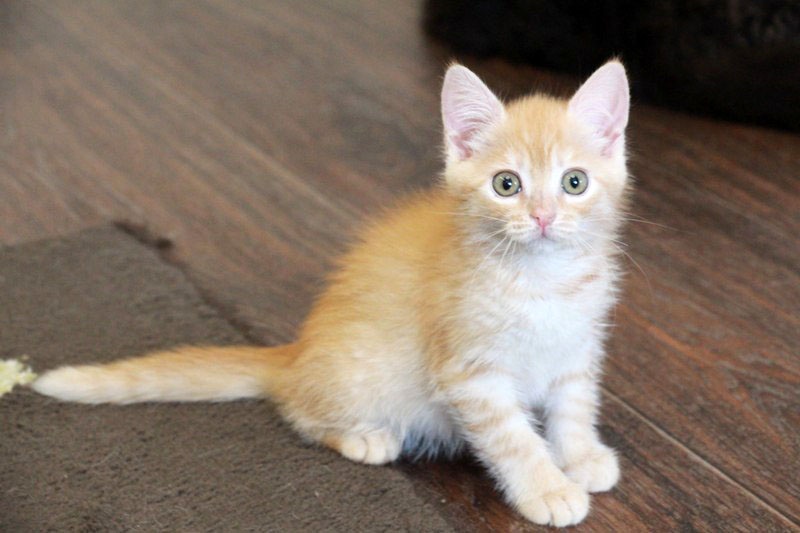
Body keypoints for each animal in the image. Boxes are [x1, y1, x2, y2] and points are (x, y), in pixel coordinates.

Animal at [33, 60, 631, 527]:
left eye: (574, 182)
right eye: (507, 185)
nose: (543, 217)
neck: (543, 280)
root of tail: (296, 353)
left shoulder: (578, 349)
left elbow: (574, 407)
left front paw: (580, 456)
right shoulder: (471, 372)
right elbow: (512, 439)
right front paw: (546, 488)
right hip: (364, 378)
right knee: (298, 410)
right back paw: (363, 437)